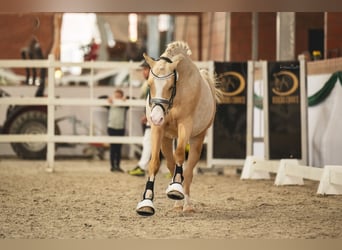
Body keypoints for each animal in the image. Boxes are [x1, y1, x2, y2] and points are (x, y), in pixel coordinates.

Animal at [136, 41, 222, 217]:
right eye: (149, 84)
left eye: (170, 86)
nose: (155, 117)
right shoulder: (158, 129)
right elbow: (154, 163)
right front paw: (146, 202)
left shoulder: (185, 125)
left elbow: (181, 155)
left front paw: (176, 188)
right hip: (167, 139)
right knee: (171, 164)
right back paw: (177, 204)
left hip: (197, 139)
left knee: (188, 171)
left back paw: (185, 203)